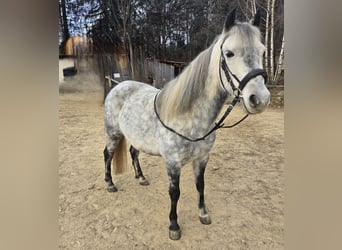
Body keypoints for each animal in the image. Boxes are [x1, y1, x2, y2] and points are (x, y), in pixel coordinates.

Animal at [103, 9, 270, 240]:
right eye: (229, 53)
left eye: (263, 51)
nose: (260, 99)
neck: (191, 117)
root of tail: (119, 86)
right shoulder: (173, 162)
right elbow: (175, 193)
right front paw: (174, 226)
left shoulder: (202, 158)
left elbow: (200, 185)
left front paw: (203, 214)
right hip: (113, 134)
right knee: (107, 155)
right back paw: (110, 184)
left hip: (135, 137)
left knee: (133, 152)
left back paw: (141, 178)